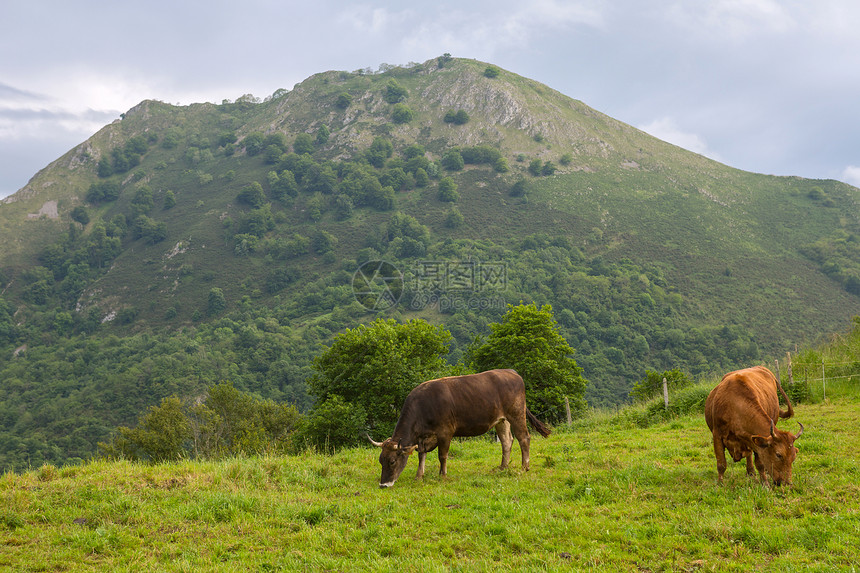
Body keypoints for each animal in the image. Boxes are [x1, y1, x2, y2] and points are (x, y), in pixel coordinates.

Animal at [366, 366, 548, 488]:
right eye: (381, 460)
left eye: (392, 461)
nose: (383, 485)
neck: (423, 407)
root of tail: (510, 371)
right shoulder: (422, 438)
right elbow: (421, 456)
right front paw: (419, 476)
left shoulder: (445, 432)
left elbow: (442, 456)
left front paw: (442, 475)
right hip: (502, 420)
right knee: (506, 441)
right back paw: (502, 467)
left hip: (516, 413)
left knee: (523, 438)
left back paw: (524, 467)